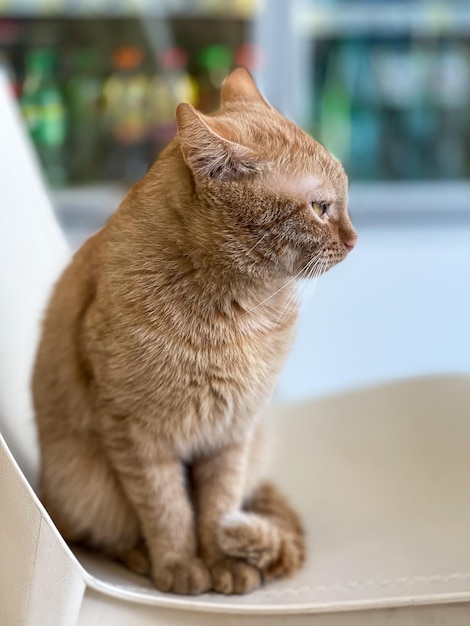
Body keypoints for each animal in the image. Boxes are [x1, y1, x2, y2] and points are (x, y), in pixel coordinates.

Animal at [33, 68, 356, 596]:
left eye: (340, 203)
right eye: (321, 207)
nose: (354, 239)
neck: (232, 312)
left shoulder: (233, 434)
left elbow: (217, 509)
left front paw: (223, 563)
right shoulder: (136, 434)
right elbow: (167, 509)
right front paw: (180, 565)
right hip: (83, 487)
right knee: (103, 531)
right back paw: (141, 557)